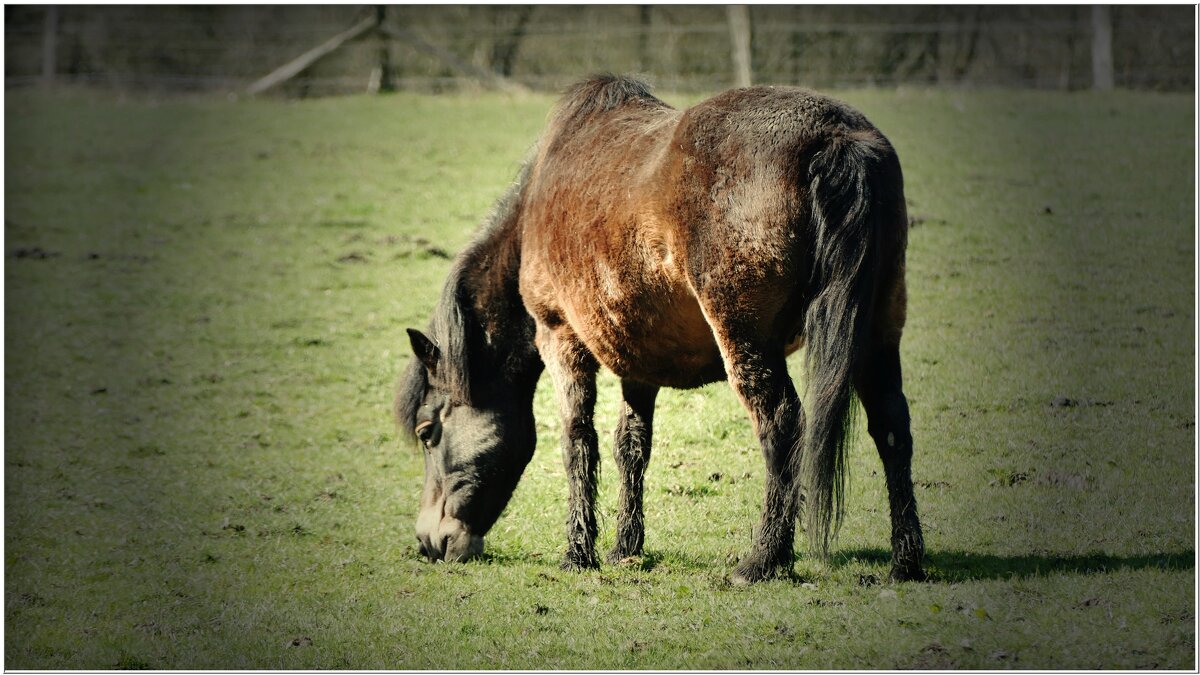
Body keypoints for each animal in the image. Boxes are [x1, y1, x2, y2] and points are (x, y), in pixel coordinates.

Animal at [393, 72, 926, 578]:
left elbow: (577, 442)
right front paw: (625, 548)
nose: (429, 542)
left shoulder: (560, 337)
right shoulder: (637, 358)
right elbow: (630, 446)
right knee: (891, 426)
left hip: (745, 336)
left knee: (782, 427)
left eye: (427, 430)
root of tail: (835, 136)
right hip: (878, 329)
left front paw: (577, 553)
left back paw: (763, 561)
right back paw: (906, 561)